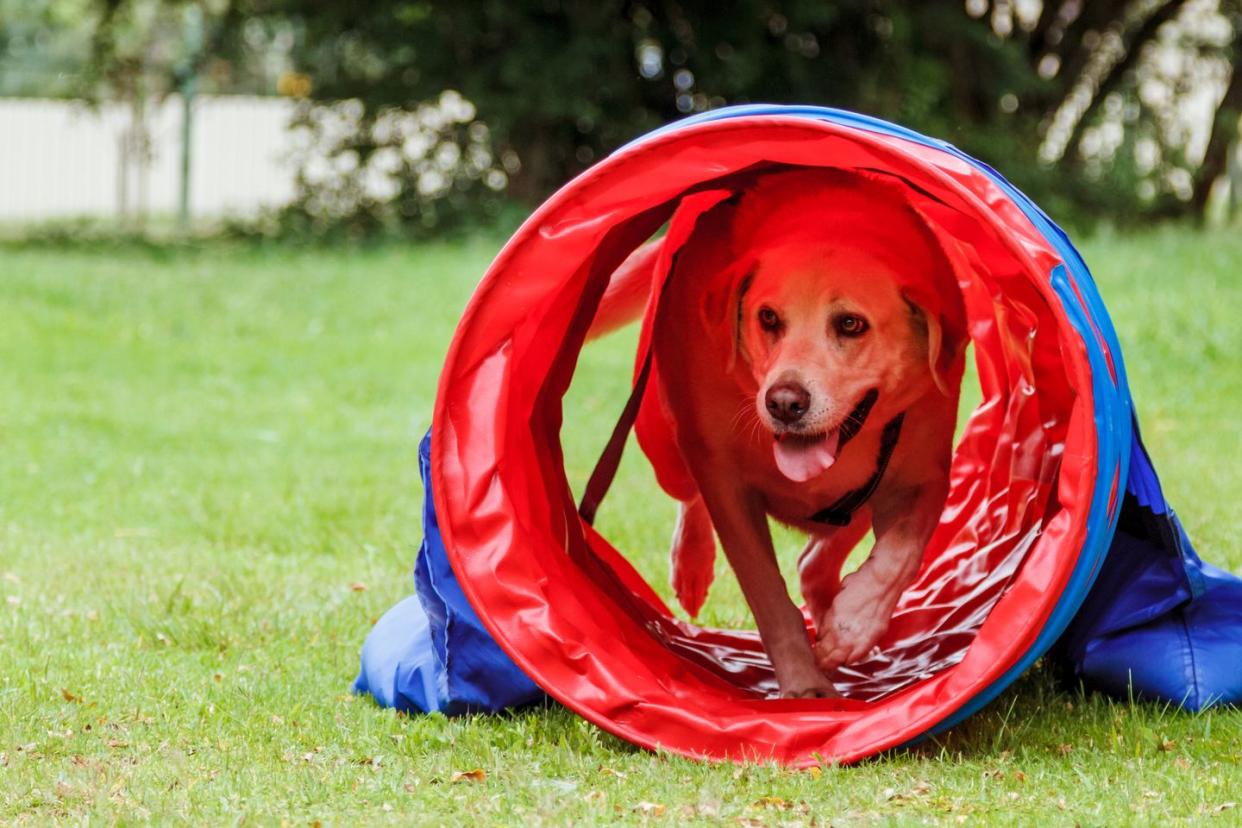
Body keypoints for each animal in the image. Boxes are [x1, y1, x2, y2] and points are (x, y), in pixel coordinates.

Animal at [591, 168, 968, 700]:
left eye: (850, 324)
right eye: (768, 317)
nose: (785, 402)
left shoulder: (925, 475)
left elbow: (900, 555)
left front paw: (851, 627)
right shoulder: (727, 484)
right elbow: (768, 594)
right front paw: (805, 685)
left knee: (815, 561)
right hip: (662, 445)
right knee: (689, 494)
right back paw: (692, 568)